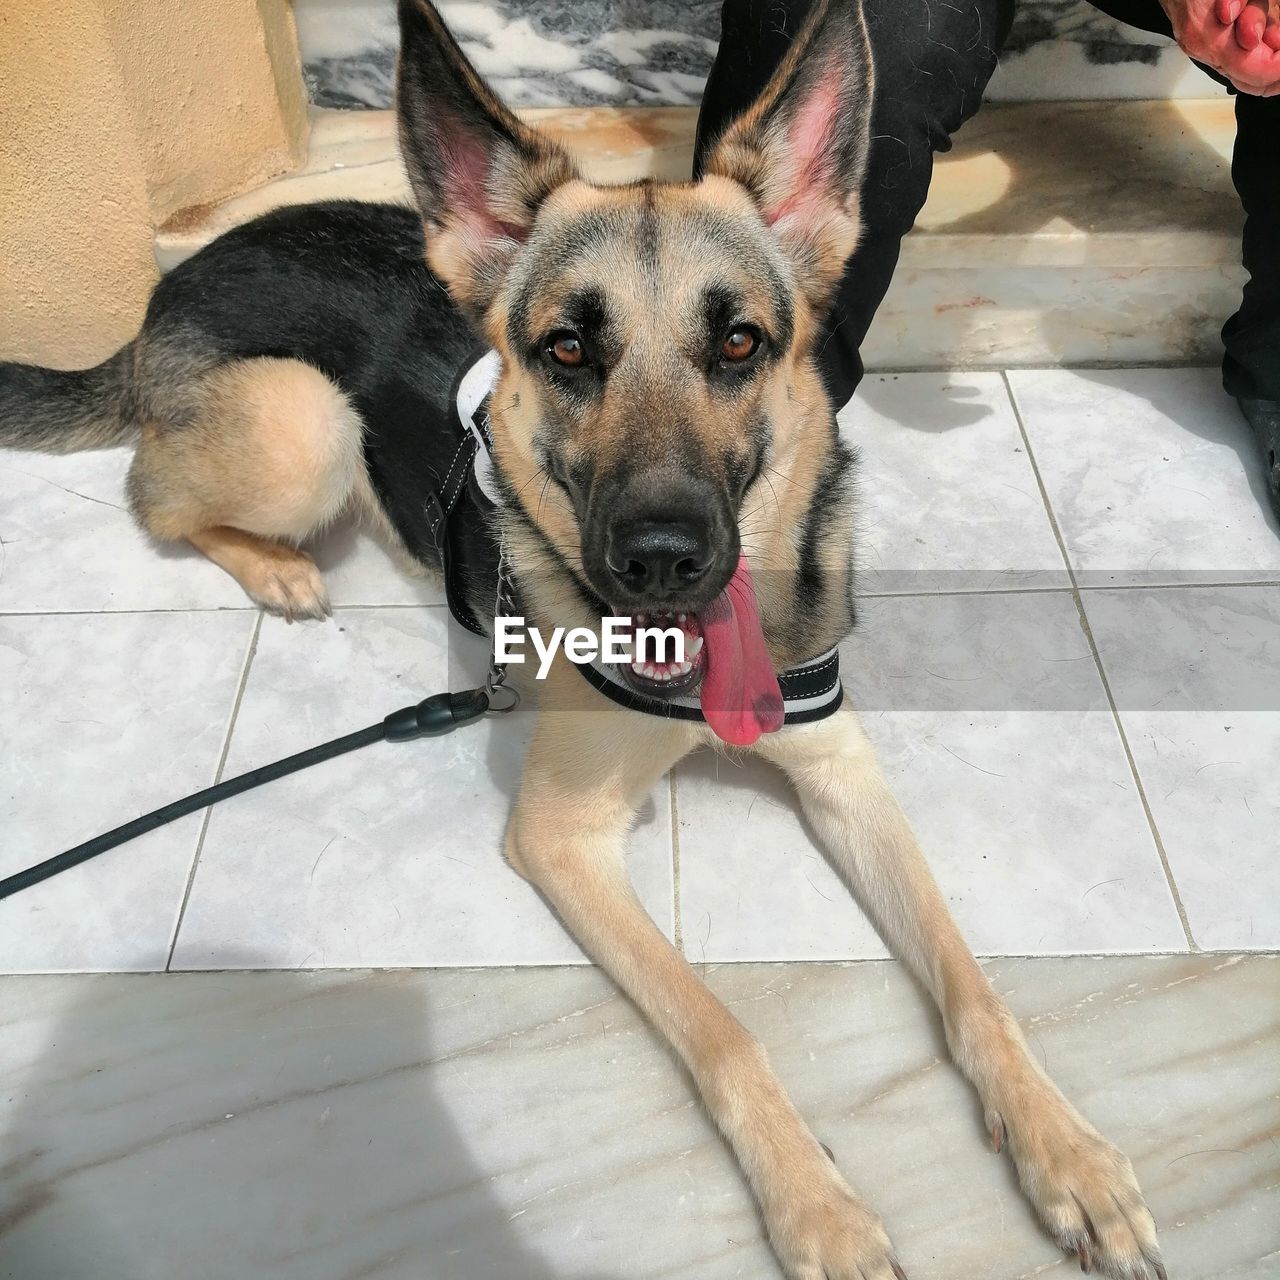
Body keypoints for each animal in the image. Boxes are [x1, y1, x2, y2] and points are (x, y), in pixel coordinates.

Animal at [0, 2, 1167, 1280]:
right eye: (565, 350)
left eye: (739, 344)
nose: (659, 558)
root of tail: (173, 283)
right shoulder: (561, 840)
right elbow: (726, 1028)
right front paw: (816, 1203)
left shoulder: (843, 777)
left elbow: (970, 981)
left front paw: (1065, 1149)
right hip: (305, 428)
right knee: (151, 492)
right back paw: (276, 568)